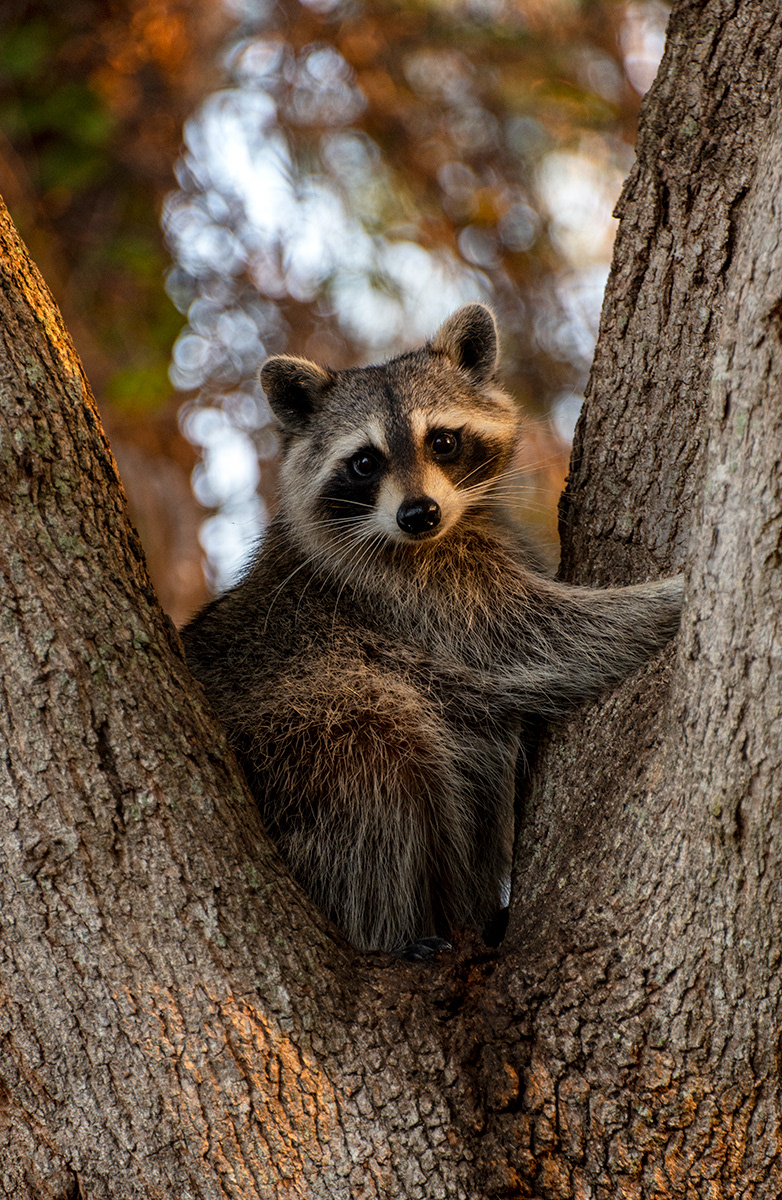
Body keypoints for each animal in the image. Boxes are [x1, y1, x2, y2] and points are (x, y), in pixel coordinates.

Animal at [181, 304, 683, 956]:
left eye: (441, 441)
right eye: (364, 462)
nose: (419, 514)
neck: (432, 537)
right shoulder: (405, 598)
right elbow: (544, 634)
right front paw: (675, 595)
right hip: (295, 738)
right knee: (376, 758)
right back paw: (387, 931)